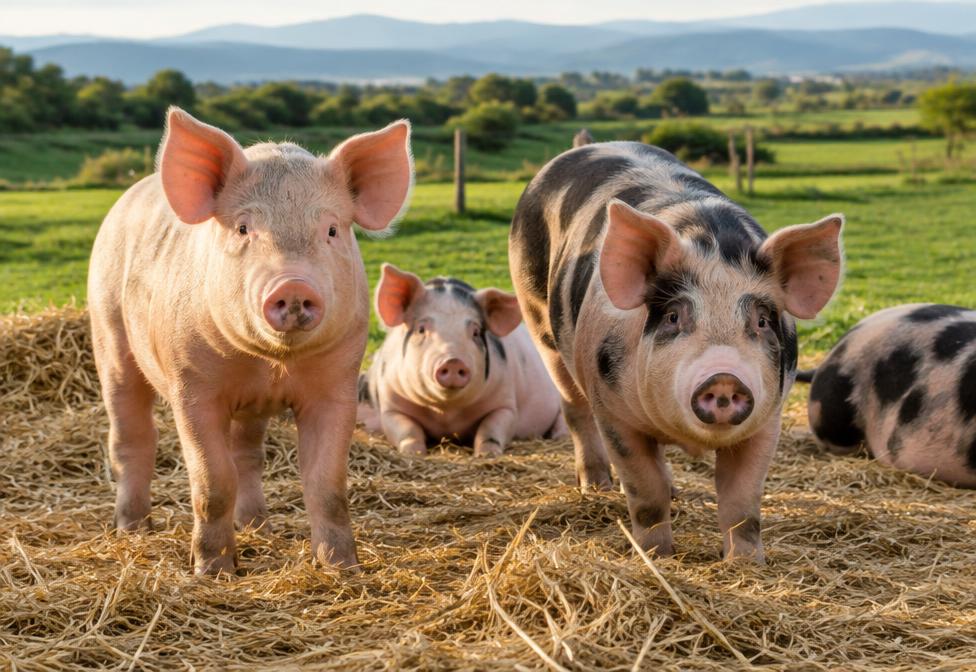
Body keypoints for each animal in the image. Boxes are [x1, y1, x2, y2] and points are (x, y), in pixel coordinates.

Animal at [87, 107, 413, 574]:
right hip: (109, 337)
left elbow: (327, 483)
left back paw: (260, 527)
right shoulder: (192, 387)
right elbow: (213, 480)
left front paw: (342, 568)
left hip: (248, 409)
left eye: (332, 230)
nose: (293, 285)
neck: (271, 364)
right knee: (131, 438)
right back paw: (133, 530)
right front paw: (213, 571)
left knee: (247, 456)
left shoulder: (337, 383)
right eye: (243, 228)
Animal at [358, 264, 566, 456]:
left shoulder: (505, 403)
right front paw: (414, 454)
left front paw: (486, 455)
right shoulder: (391, 405)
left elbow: (490, 430)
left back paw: (559, 437)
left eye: (475, 332)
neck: (446, 414)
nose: (453, 361)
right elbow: (408, 431)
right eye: (421, 329)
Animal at [509, 142, 844, 562]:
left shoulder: (768, 421)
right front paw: (655, 556)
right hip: (539, 321)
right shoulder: (615, 415)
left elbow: (742, 502)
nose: (723, 377)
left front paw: (746, 564)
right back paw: (597, 487)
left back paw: (672, 492)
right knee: (575, 411)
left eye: (764, 320)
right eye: (673, 316)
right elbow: (644, 492)